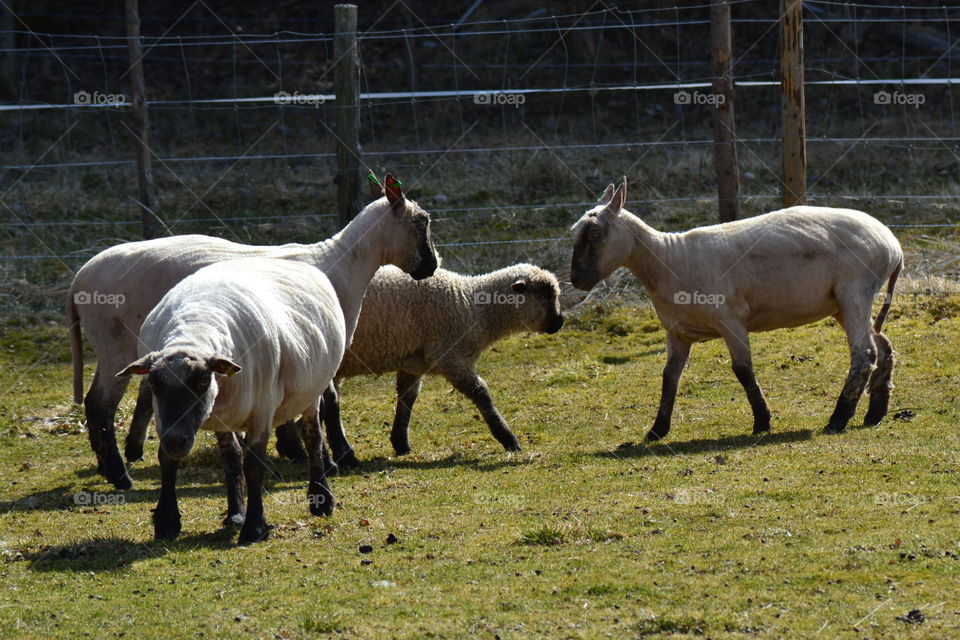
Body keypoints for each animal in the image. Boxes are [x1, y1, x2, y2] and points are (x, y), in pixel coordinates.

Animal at [68, 175, 437, 489]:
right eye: (422, 222)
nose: (432, 267)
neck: (346, 265)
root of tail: (79, 278)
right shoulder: (322, 347)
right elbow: (328, 403)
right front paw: (338, 457)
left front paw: (292, 449)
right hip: (116, 345)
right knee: (100, 405)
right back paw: (119, 476)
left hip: (114, 349)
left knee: (96, 404)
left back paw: (107, 466)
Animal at [117, 257, 345, 544]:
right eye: (155, 385)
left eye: (203, 383)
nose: (177, 441)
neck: (196, 327)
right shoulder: (165, 418)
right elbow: (168, 459)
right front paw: (167, 521)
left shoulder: (262, 411)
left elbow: (255, 467)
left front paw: (254, 528)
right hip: (225, 417)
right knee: (232, 455)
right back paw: (235, 512)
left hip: (311, 393)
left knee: (313, 438)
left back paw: (321, 499)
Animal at [275, 263, 565, 468]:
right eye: (545, 296)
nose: (560, 322)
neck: (470, 305)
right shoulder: (452, 357)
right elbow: (481, 394)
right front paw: (508, 439)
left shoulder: (414, 364)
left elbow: (407, 400)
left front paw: (400, 443)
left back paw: (292, 448)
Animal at [570, 177, 903, 441]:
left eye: (595, 234)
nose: (576, 279)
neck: (670, 258)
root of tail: (892, 244)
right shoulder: (677, 333)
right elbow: (669, 378)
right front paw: (656, 430)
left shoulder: (731, 320)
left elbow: (742, 370)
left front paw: (762, 422)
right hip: (843, 304)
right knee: (883, 347)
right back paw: (875, 413)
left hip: (854, 290)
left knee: (864, 354)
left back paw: (838, 419)